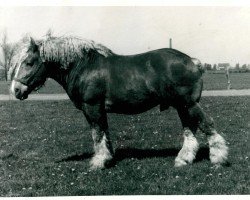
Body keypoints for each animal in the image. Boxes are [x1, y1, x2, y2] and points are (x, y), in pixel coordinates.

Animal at [11, 36, 229, 170]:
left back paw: (218, 158)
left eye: (29, 62)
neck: (84, 67)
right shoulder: (100, 110)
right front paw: (108, 157)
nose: (15, 90)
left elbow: (97, 134)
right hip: (182, 106)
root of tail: (192, 61)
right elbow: (105, 133)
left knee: (207, 124)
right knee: (190, 129)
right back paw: (184, 158)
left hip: (189, 104)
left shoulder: (92, 107)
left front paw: (98, 162)